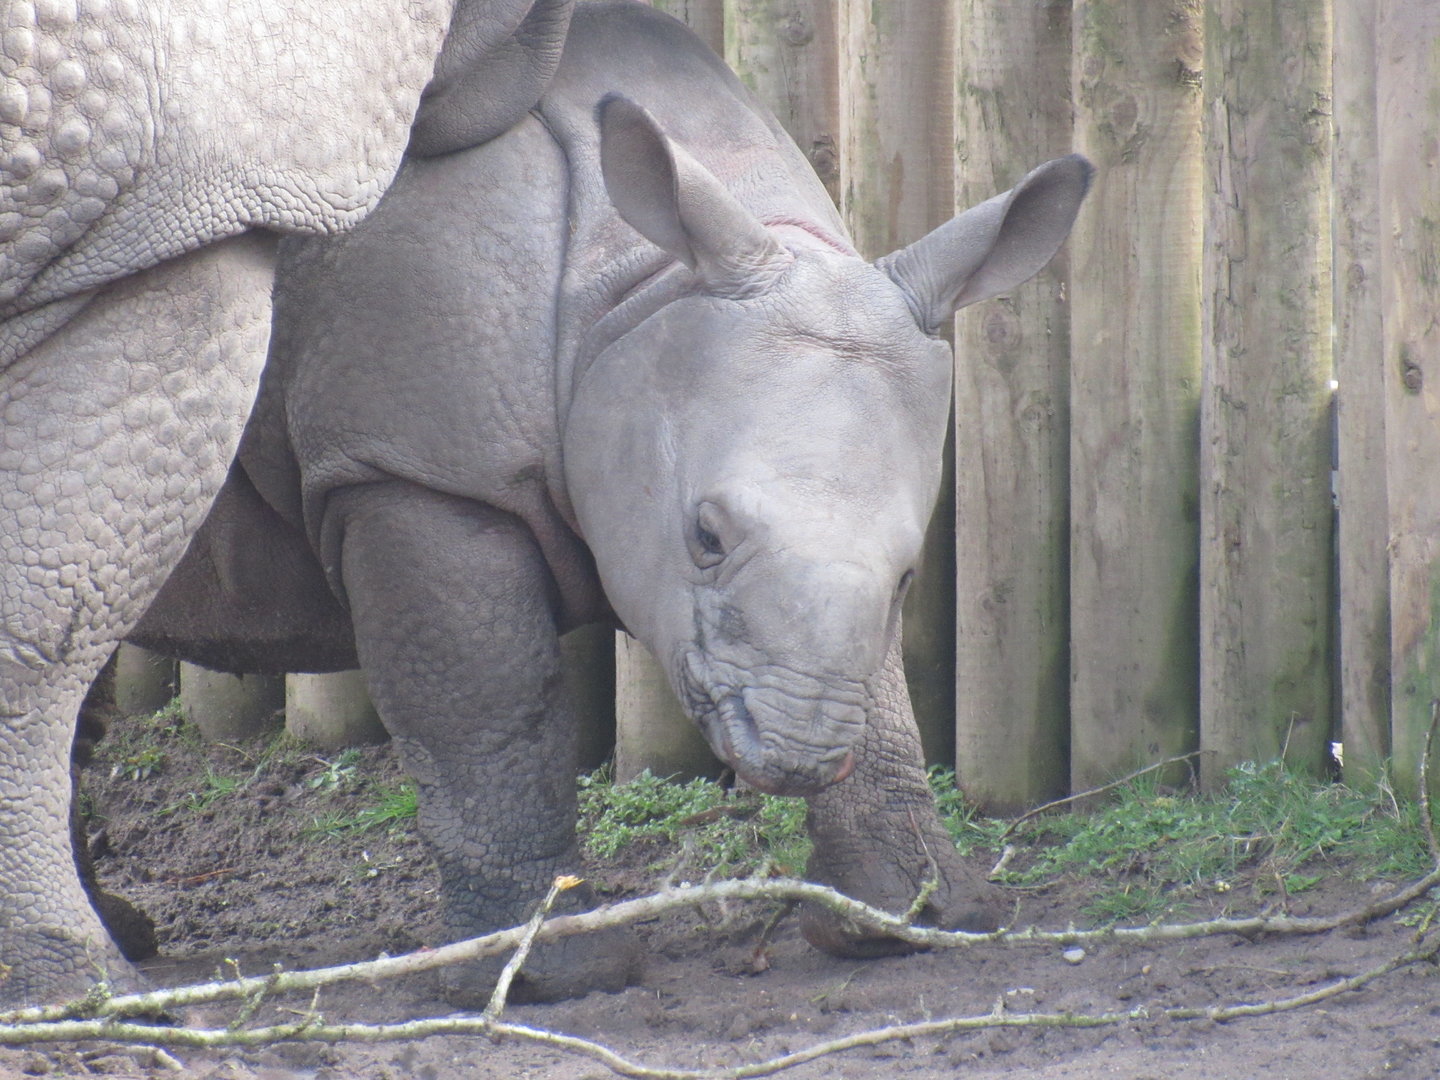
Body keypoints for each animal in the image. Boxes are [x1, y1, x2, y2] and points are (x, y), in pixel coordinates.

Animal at [131, 0, 1091, 1002]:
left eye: (912, 573)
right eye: (705, 537)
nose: (796, 751)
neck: (630, 293)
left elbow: (880, 680)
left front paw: (916, 921)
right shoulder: (409, 466)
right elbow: (487, 704)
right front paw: (550, 977)